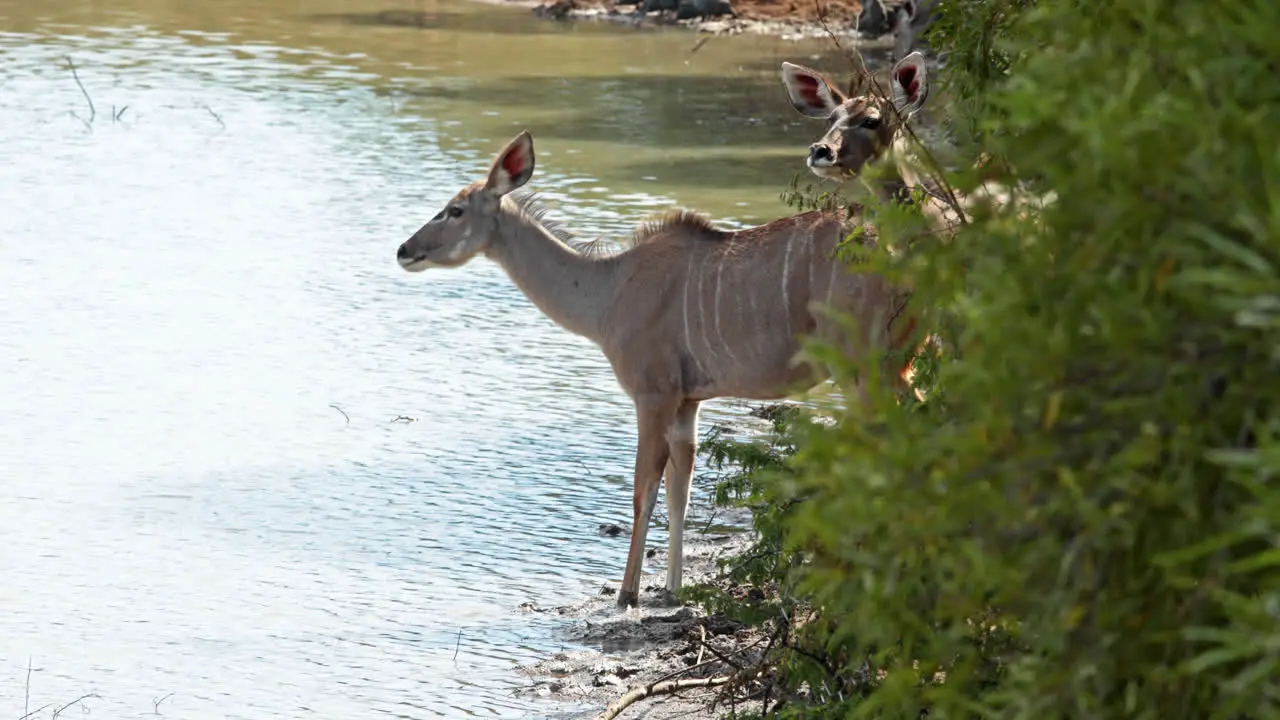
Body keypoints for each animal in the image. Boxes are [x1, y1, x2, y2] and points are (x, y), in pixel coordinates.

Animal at [391, 130, 921, 604]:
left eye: (455, 210)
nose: (404, 250)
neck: (608, 292)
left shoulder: (653, 395)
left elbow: (643, 490)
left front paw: (627, 595)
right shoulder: (688, 402)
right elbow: (678, 491)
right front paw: (671, 591)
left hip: (864, 369)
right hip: (897, 366)